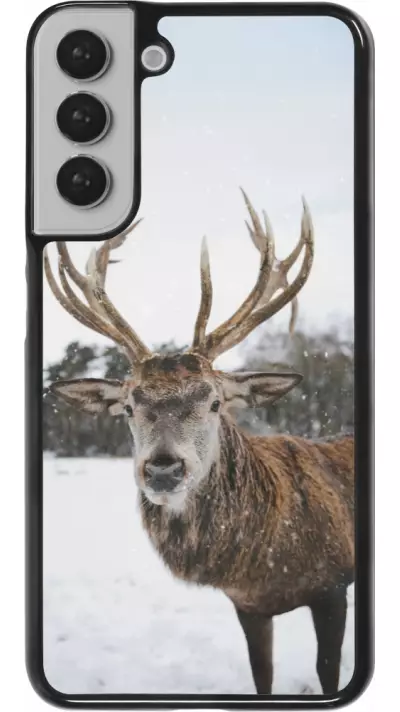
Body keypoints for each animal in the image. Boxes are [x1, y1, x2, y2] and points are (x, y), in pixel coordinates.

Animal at [44, 190, 354, 695]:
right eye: (128, 407)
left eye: (214, 401)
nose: (163, 469)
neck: (266, 564)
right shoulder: (248, 605)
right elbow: (262, 676)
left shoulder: (333, 585)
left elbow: (329, 672)